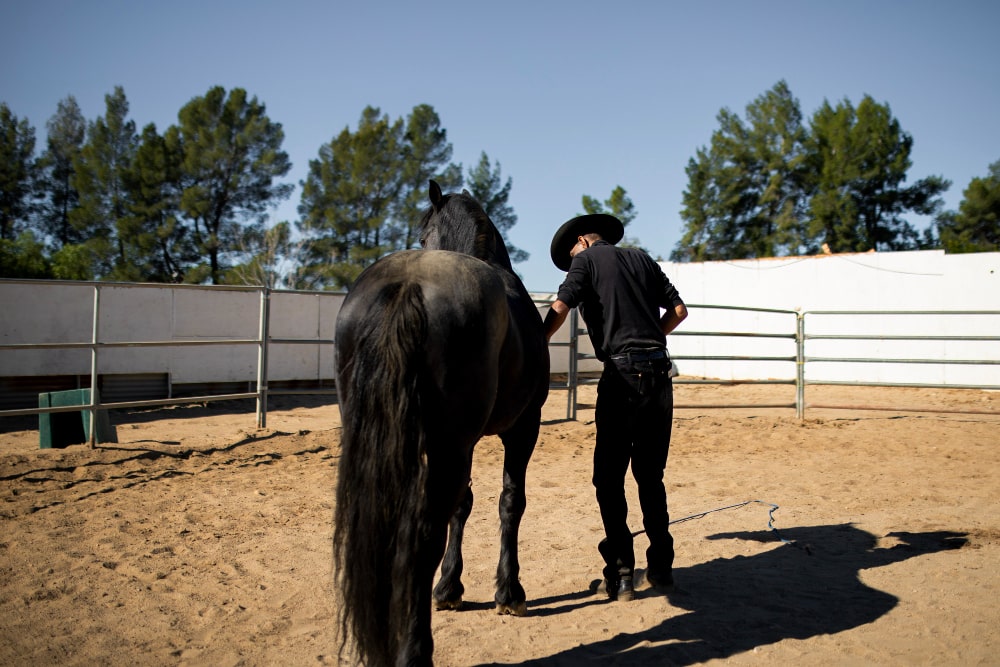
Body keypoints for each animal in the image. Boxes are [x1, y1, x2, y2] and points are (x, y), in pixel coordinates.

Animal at [332, 180, 550, 666]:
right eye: (421, 232)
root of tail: (408, 284)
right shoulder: (522, 428)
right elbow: (510, 501)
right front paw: (509, 591)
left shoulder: (463, 443)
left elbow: (462, 505)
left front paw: (450, 587)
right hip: (451, 444)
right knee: (420, 535)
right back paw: (416, 651)